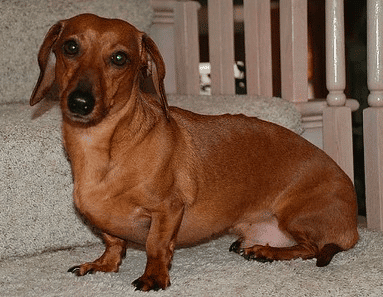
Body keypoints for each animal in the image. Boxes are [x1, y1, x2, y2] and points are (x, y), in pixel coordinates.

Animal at [30, 13, 360, 290]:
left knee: (312, 248)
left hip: (295, 215)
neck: (106, 146)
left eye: (119, 58)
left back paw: (266, 252)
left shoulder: (168, 210)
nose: (79, 102)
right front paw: (102, 265)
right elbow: (113, 243)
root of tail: (353, 226)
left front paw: (154, 277)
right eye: (70, 46)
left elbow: (155, 245)